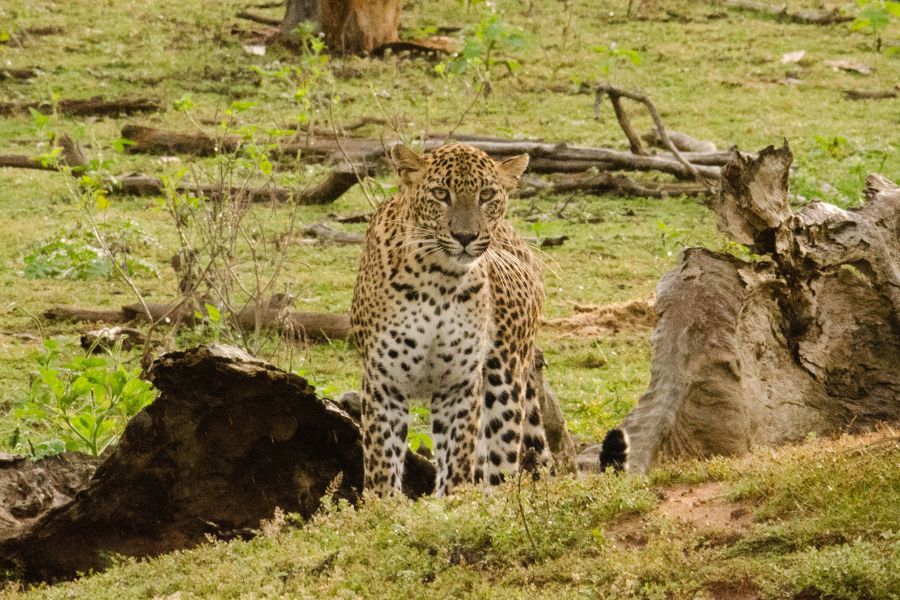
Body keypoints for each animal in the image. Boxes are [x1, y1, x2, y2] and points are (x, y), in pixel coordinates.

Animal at [350, 142, 552, 497]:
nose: (465, 236)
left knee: (499, 466)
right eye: (441, 194)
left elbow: (457, 462)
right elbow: (382, 467)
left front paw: (451, 506)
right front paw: (382, 506)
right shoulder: (383, 382)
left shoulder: (459, 384)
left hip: (506, 380)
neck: (440, 282)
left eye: (487, 195)